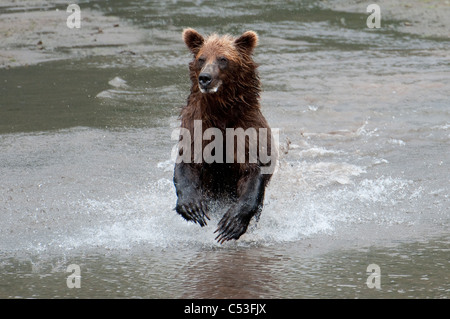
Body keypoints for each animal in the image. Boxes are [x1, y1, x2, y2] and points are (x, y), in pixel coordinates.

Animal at [173, 28, 276, 244]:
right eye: (201, 58)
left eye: (223, 59)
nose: (205, 78)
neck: (220, 112)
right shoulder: (197, 127)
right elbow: (188, 161)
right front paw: (192, 207)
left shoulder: (246, 132)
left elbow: (251, 170)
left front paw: (230, 225)